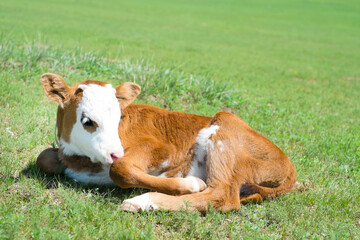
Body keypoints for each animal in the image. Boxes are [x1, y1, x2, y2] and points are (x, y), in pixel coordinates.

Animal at [36, 72, 296, 212]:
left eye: (118, 116)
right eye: (87, 121)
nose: (115, 152)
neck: (83, 161)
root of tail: (288, 165)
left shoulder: (162, 148)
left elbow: (120, 169)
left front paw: (188, 184)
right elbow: (43, 158)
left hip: (224, 130)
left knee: (222, 195)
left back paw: (143, 201)